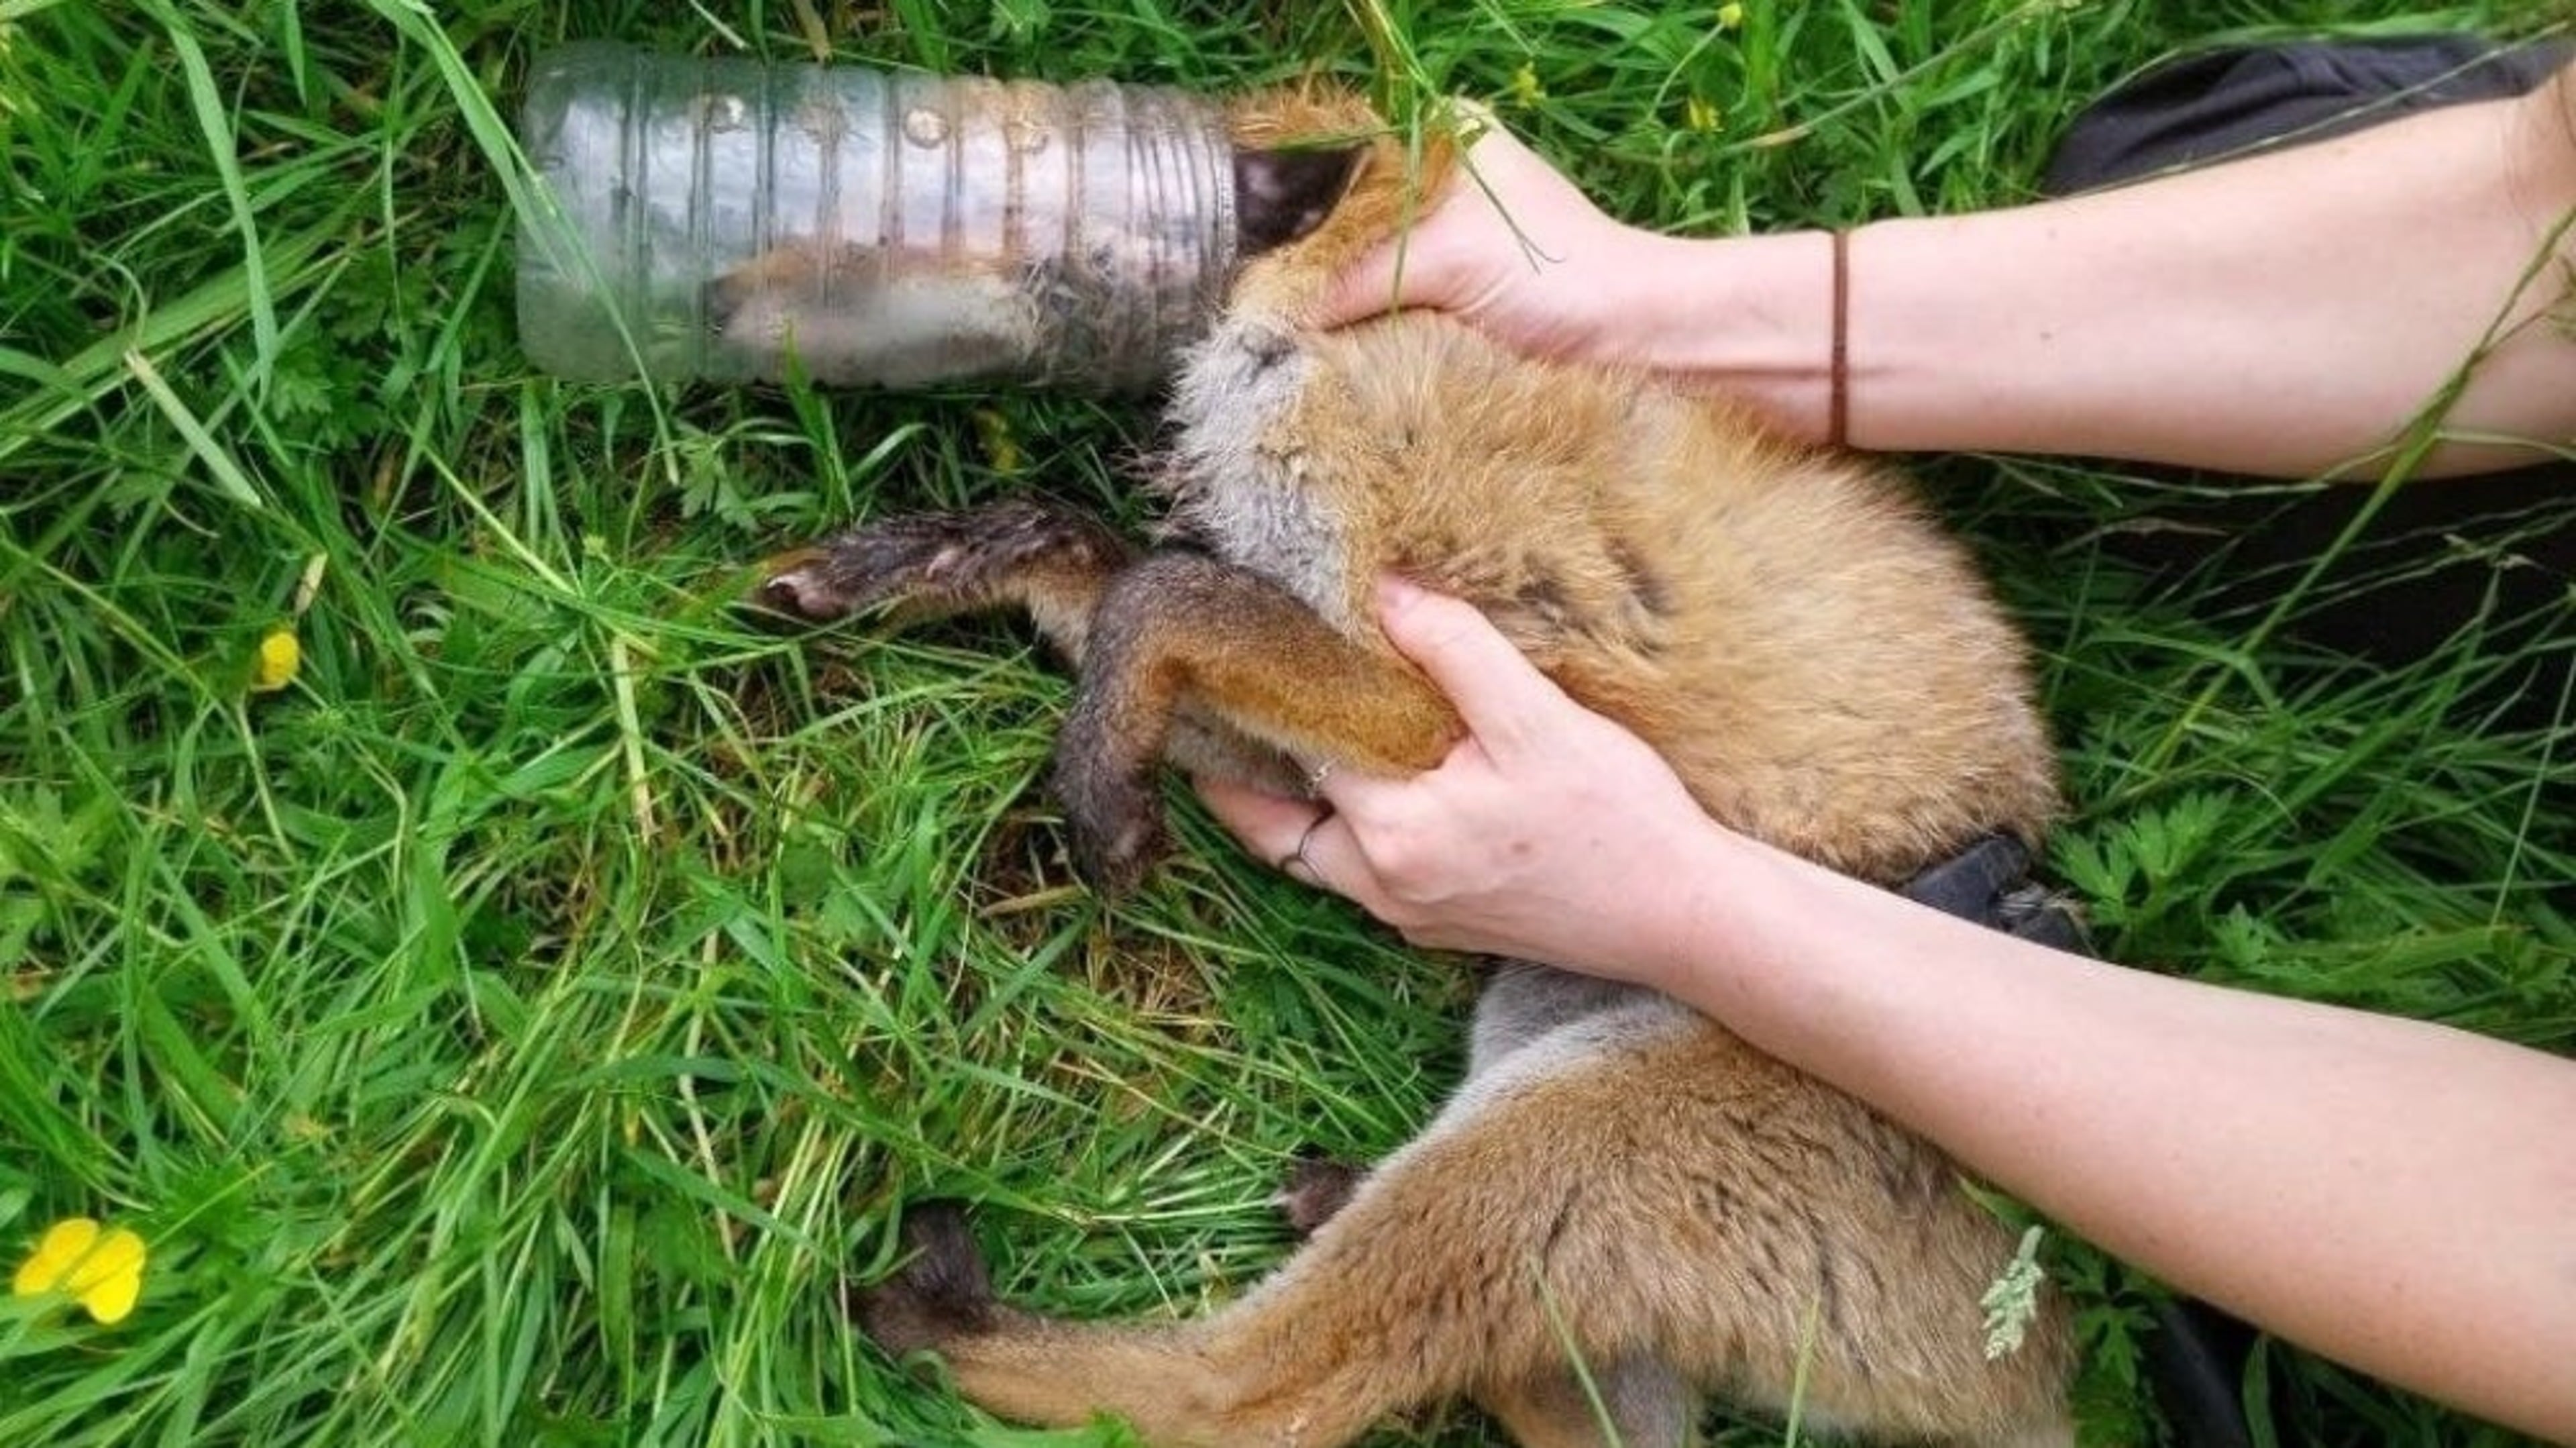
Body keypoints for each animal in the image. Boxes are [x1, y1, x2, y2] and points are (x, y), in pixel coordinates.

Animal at [752, 89, 2079, 1448]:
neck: (1318, 348)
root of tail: (2041, 1342)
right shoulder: (1301, 737)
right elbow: (1097, 565)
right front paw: (916, 564)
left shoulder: (1450, 694)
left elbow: (1168, 590)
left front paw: (1098, 793)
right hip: (1548, 1054)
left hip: (1562, 1136)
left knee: (1248, 1390)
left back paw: (941, 1326)